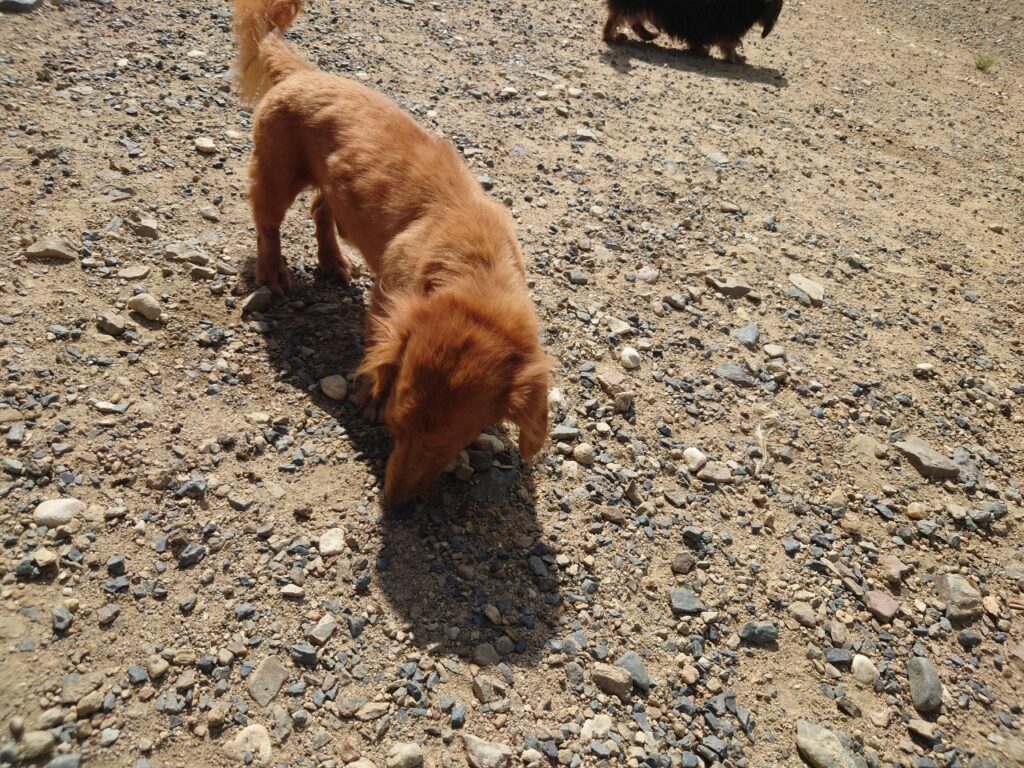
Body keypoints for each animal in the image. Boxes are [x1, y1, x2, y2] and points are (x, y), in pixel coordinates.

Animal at [232, 0, 551, 508]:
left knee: (321, 211)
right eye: (394, 426)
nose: (392, 504)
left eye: (450, 445)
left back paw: (332, 262)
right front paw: (371, 391)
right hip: (276, 172)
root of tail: (303, 71)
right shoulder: (389, 296)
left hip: (333, 187)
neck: (472, 266)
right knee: (267, 223)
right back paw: (273, 272)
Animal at [602, 0, 784, 62]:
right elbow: (729, 44)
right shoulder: (726, 26)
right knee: (616, 17)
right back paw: (611, 35)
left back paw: (648, 34)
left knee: (634, 20)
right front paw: (736, 58)